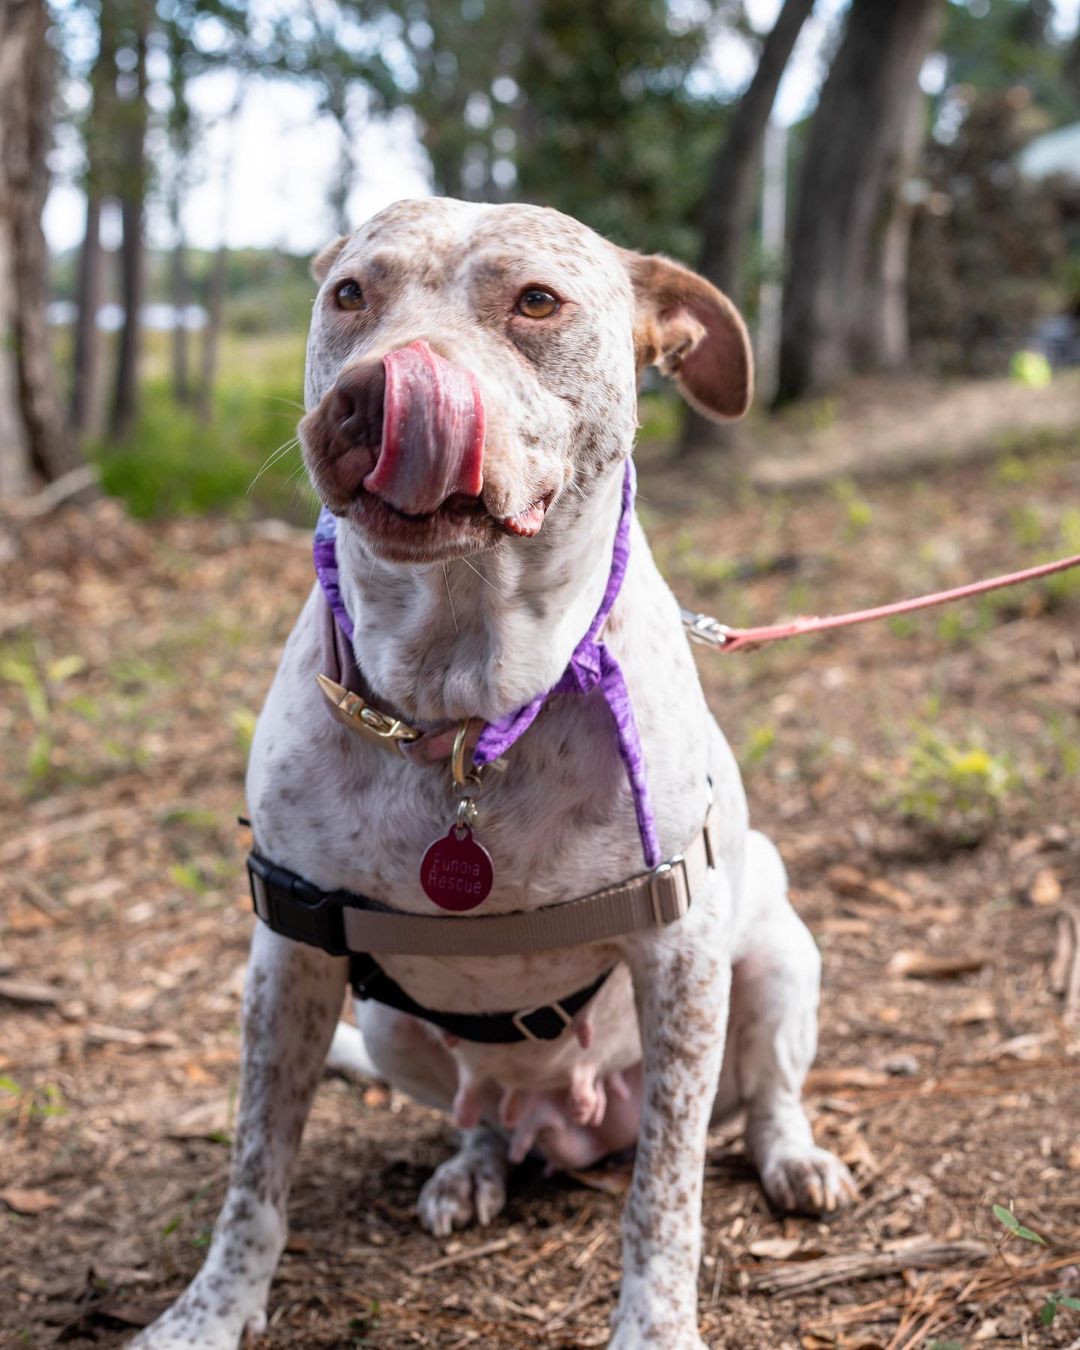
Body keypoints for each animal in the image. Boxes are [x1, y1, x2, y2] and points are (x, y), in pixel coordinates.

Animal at [135, 197, 858, 1350]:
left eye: (537, 302)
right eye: (350, 295)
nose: (374, 392)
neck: (462, 707)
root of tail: (565, 1127)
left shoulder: (682, 955)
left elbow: (668, 1194)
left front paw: (656, 1326)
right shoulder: (288, 955)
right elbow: (255, 1172)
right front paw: (208, 1314)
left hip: (778, 949)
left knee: (761, 1095)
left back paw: (793, 1158)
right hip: (392, 1029)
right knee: (479, 1114)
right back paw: (470, 1170)